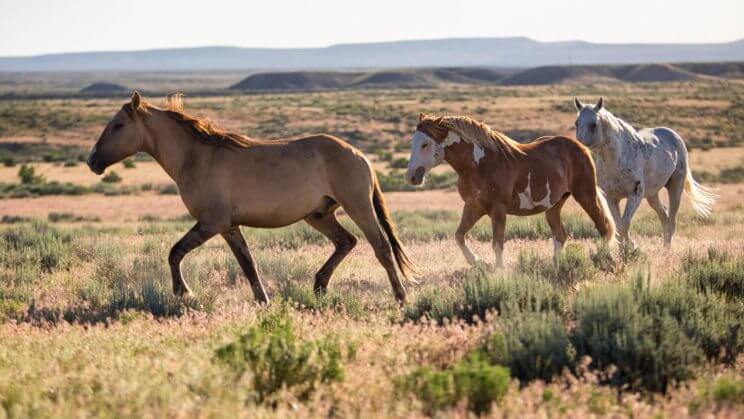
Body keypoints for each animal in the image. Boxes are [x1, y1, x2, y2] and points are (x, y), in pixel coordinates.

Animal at [87, 92, 418, 302]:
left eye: (118, 125)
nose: (92, 161)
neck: (196, 156)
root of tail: (360, 155)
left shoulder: (211, 223)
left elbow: (175, 252)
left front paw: (184, 292)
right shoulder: (228, 227)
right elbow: (248, 265)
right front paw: (263, 301)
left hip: (357, 206)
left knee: (381, 247)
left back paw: (400, 297)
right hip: (319, 214)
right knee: (346, 242)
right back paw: (320, 285)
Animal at [406, 113, 616, 268]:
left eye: (425, 144)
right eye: (412, 143)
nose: (411, 177)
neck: (479, 165)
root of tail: (581, 147)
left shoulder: (498, 210)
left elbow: (497, 244)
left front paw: (499, 272)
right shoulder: (473, 207)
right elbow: (459, 236)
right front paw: (477, 262)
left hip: (585, 195)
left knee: (603, 227)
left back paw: (604, 259)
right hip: (554, 206)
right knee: (560, 236)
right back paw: (557, 265)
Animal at [572, 97, 716, 246]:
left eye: (593, 124)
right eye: (576, 123)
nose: (578, 147)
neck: (618, 157)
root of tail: (674, 135)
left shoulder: (635, 195)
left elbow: (624, 224)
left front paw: (632, 246)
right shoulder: (612, 198)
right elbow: (618, 226)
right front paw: (624, 248)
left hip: (675, 187)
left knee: (671, 221)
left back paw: (667, 249)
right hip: (652, 195)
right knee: (664, 217)